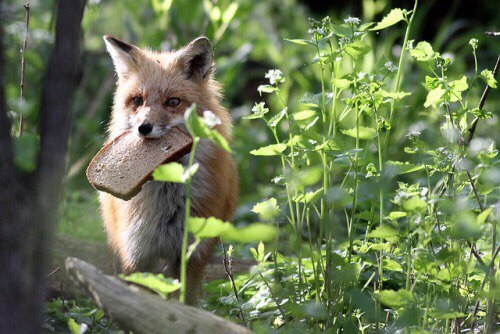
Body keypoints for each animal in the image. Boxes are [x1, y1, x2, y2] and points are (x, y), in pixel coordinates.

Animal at [99, 35, 238, 304]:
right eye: (137, 100)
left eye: (173, 101)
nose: (144, 127)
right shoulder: (136, 255)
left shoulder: (191, 255)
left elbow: (184, 303)